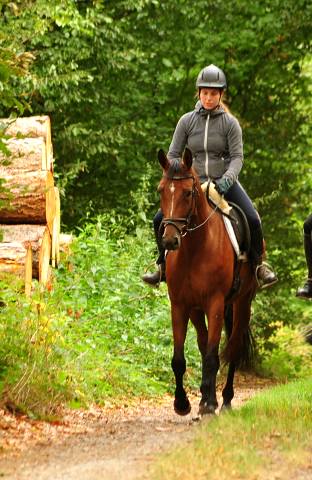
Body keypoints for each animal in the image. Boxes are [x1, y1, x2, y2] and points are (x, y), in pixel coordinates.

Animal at [158, 148, 258, 414]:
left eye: (188, 192)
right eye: (161, 190)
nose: (170, 240)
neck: (194, 249)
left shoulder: (214, 303)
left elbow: (214, 356)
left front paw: (212, 403)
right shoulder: (180, 306)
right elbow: (180, 358)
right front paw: (182, 403)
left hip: (242, 303)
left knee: (232, 349)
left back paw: (224, 400)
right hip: (196, 309)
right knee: (204, 345)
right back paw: (204, 397)